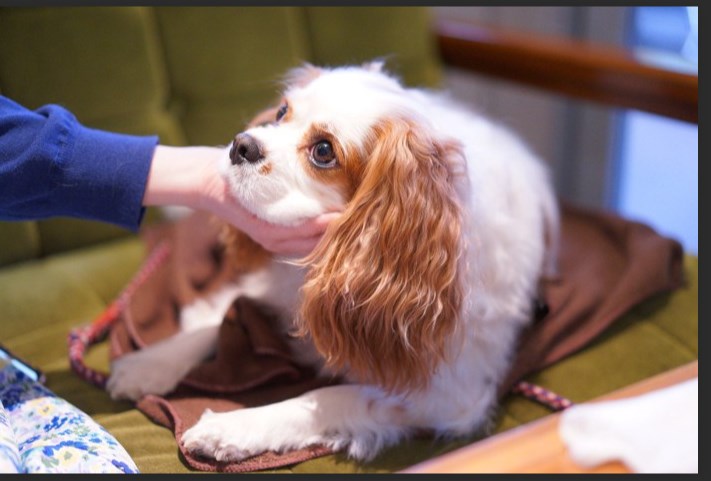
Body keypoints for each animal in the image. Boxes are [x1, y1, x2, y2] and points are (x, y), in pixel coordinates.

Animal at [107, 62, 560, 460]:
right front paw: (149, 364)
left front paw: (233, 427)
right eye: (281, 112)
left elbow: (328, 396)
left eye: (323, 151)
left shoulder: (447, 396)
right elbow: (221, 319)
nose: (242, 144)